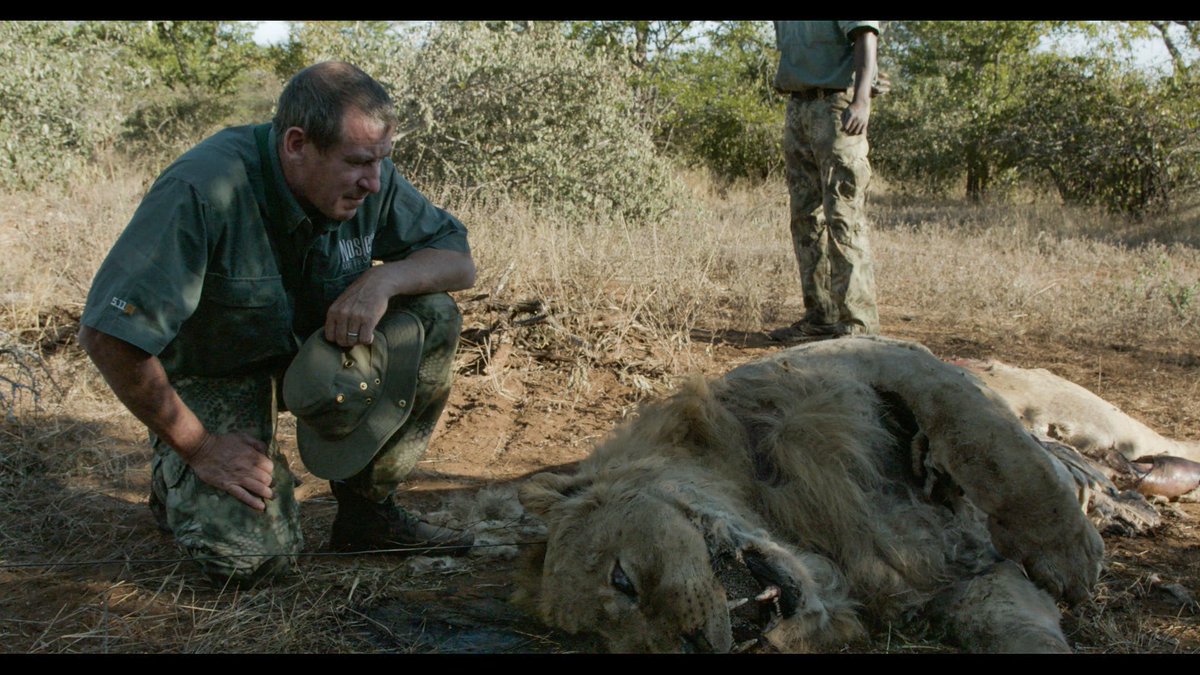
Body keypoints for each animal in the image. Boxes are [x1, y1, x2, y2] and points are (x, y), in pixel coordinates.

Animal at [516, 336, 1111, 653]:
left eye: (622, 579)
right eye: (614, 644)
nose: (691, 646)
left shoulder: (888, 363)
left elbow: (992, 448)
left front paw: (1070, 559)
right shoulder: (964, 583)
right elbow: (1019, 629)